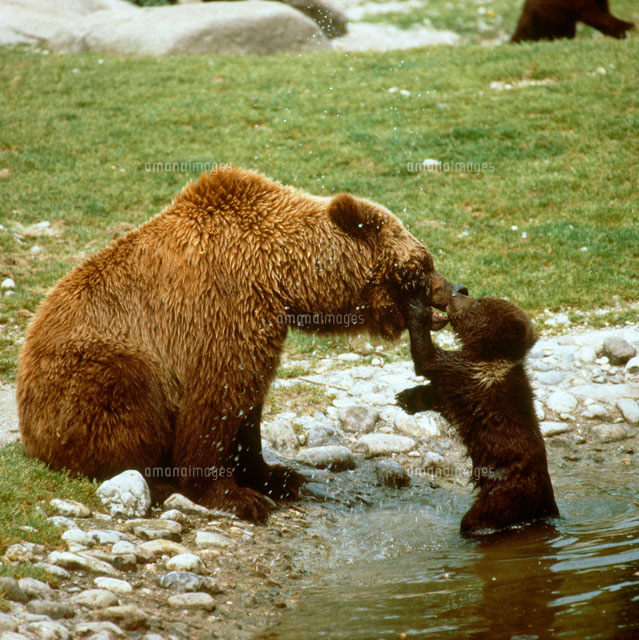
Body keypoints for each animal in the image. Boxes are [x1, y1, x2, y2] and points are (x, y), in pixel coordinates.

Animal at [17, 166, 466, 522]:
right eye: (424, 264)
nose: (454, 288)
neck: (281, 276)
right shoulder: (223, 310)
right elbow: (215, 404)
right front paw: (237, 498)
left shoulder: (261, 326)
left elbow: (248, 406)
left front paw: (276, 476)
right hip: (95, 366)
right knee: (123, 399)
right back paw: (153, 479)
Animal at [396, 290, 559, 534]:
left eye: (480, 302)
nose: (458, 292)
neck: (490, 357)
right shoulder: (463, 382)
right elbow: (437, 396)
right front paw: (406, 398)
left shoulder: (468, 373)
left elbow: (427, 358)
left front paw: (414, 303)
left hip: (500, 500)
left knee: (473, 521)